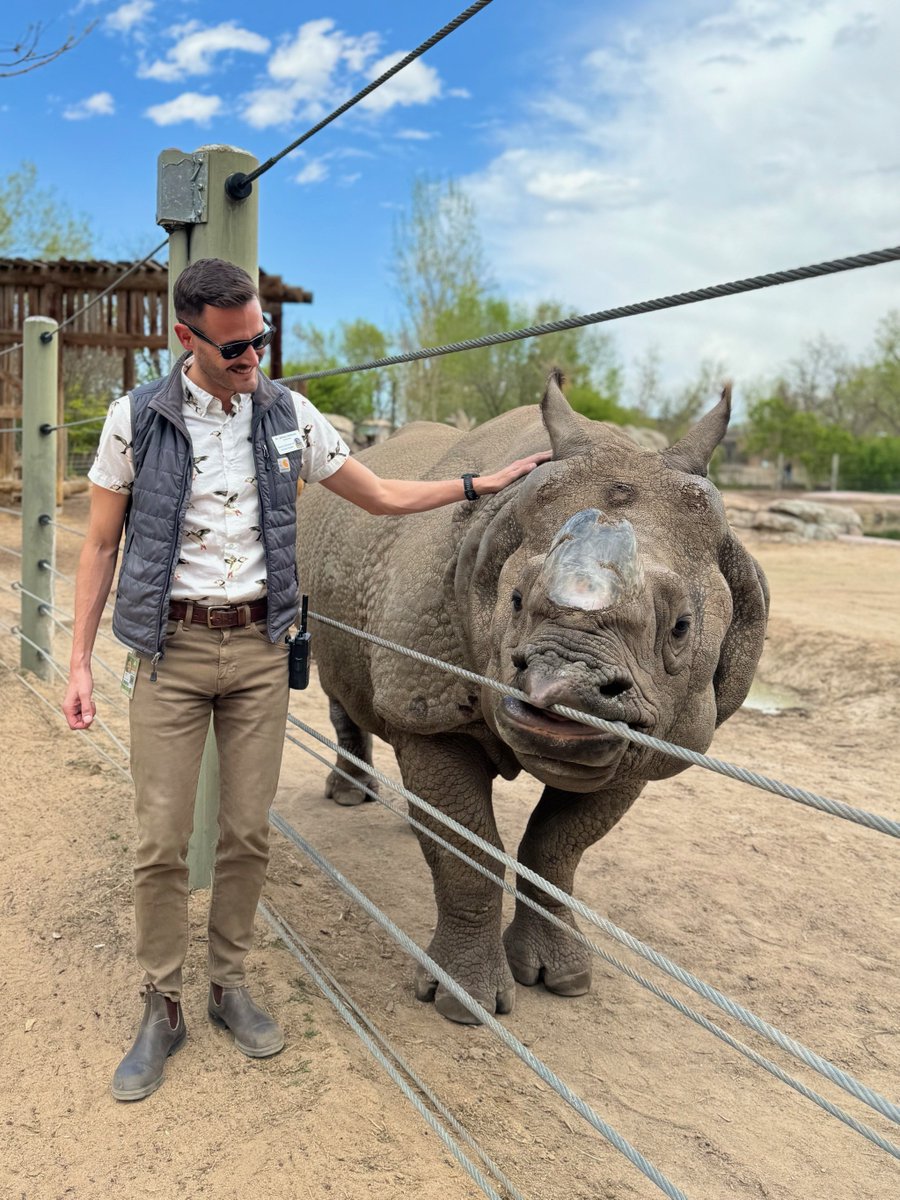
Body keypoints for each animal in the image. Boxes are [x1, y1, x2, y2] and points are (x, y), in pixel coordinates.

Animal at [300, 372, 772, 1022]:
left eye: (681, 627)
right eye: (516, 601)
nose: (563, 687)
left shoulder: (646, 740)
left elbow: (555, 850)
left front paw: (563, 980)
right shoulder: (432, 705)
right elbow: (468, 859)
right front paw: (462, 1005)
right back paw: (350, 799)